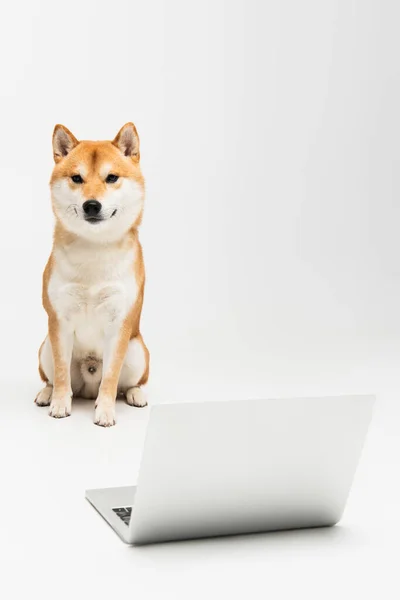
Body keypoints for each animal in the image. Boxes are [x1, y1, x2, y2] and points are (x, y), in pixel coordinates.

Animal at [34, 123, 149, 426]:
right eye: (77, 178)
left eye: (111, 178)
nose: (92, 205)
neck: (94, 248)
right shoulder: (59, 322)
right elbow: (61, 373)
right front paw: (60, 404)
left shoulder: (119, 324)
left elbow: (110, 377)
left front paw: (105, 411)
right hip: (45, 346)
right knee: (52, 378)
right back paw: (46, 394)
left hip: (138, 351)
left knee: (129, 382)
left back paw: (135, 395)